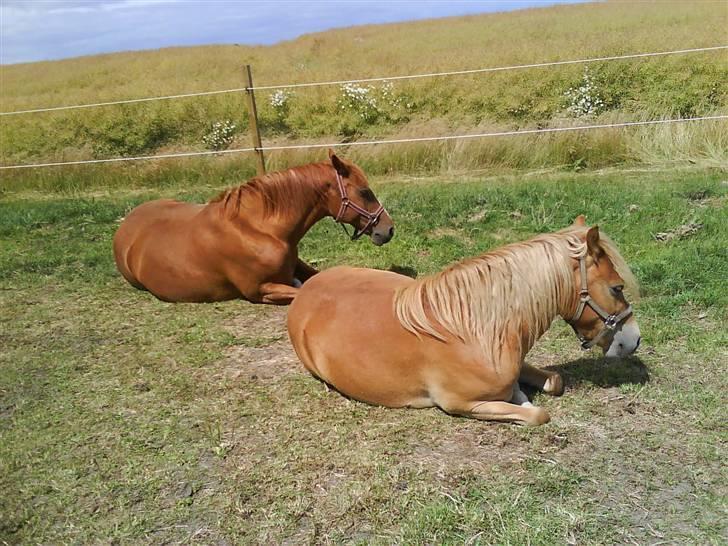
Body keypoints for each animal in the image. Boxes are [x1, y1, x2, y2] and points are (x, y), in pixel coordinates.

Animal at [288, 217, 640, 424]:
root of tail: (306, 290)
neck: (473, 331)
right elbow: (537, 414)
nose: (633, 340)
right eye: (617, 287)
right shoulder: (461, 404)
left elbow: (554, 381)